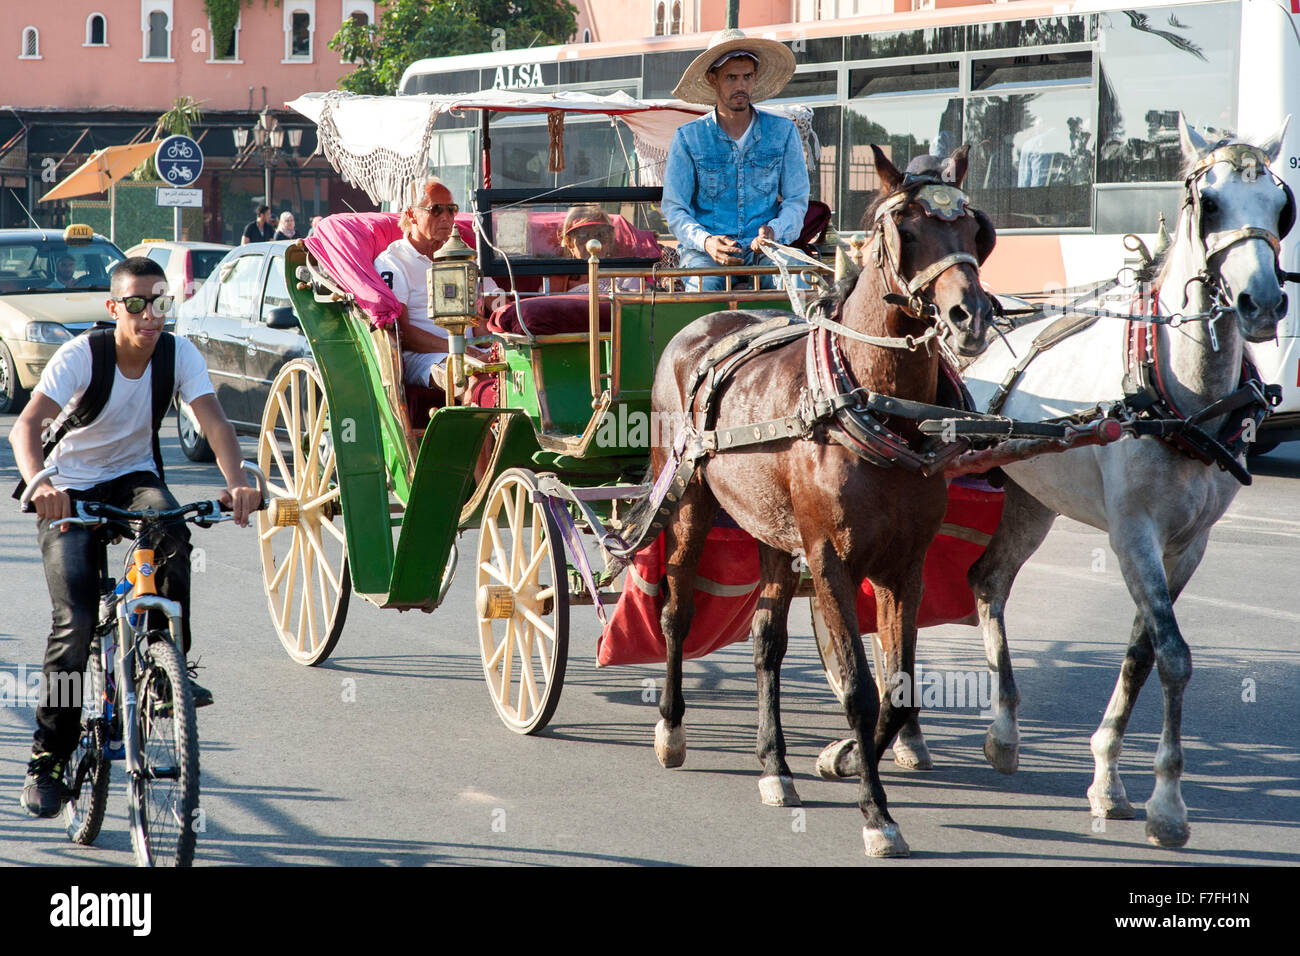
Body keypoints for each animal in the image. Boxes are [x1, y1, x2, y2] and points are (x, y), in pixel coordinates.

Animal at [647, 145, 993, 863]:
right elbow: (858, 689)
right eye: (904, 230)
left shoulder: (904, 567)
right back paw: (671, 729)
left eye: (976, 231)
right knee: (676, 611)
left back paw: (773, 765)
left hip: (775, 535)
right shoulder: (832, 561)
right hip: (689, 502)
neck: (872, 404)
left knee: (766, 642)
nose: (970, 317)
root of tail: (703, 323)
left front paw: (840, 758)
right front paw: (876, 815)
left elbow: (897, 688)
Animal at [956, 117, 1289, 842]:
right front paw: (1169, 803)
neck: (1182, 398)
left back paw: (1003, 732)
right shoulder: (1132, 534)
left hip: (1028, 498)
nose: (1263, 302)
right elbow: (1174, 654)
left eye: (1284, 207)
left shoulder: (1186, 544)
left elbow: (1143, 653)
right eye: (1208, 203)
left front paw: (1109, 779)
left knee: (988, 581)